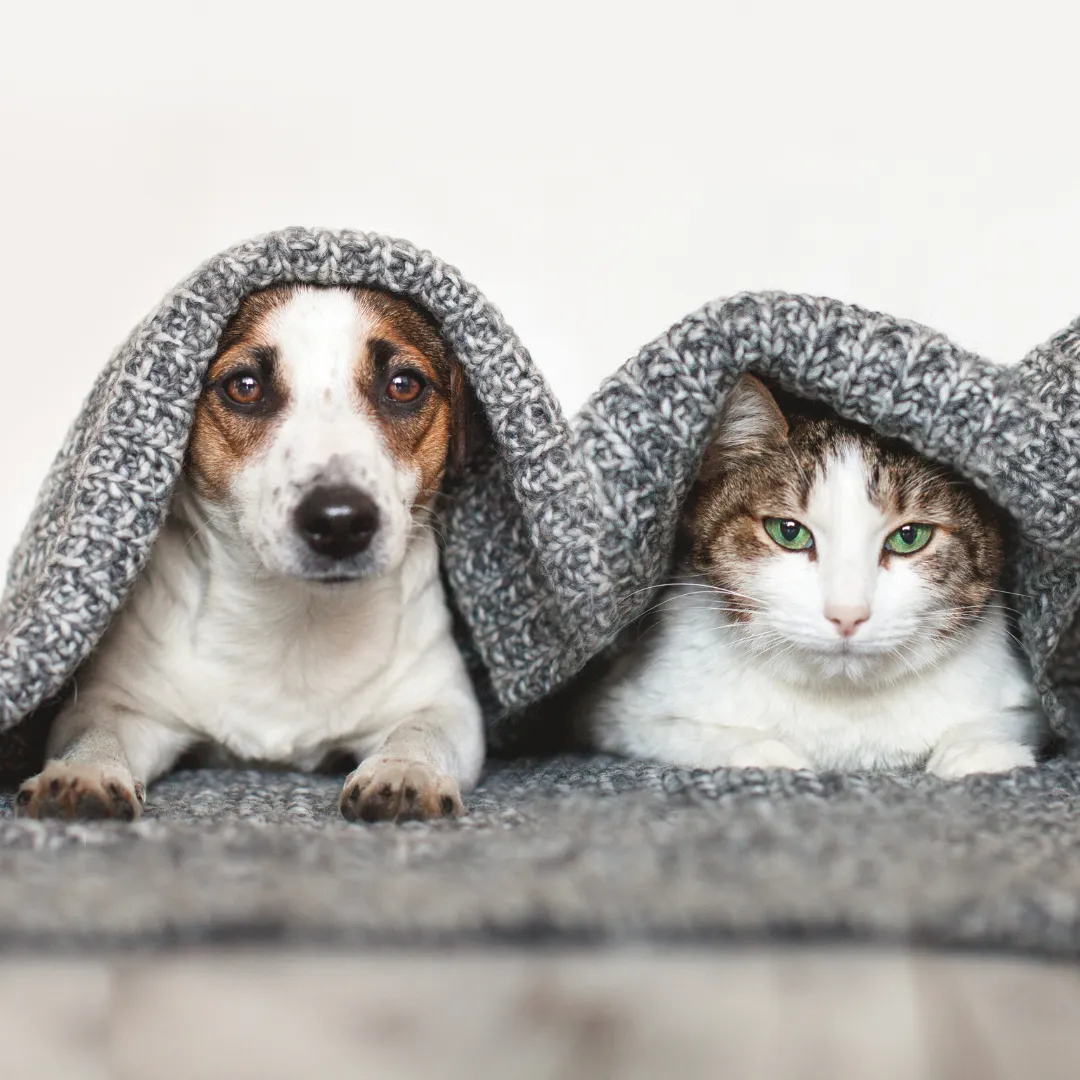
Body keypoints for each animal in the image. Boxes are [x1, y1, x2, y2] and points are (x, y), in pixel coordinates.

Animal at [12, 282, 483, 820]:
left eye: (404, 385)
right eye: (244, 386)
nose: (339, 521)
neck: (296, 622)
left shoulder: (445, 704)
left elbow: (421, 730)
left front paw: (405, 771)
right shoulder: (118, 705)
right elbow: (95, 735)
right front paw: (82, 774)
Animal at [583, 373, 1045, 777]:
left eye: (909, 536)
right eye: (788, 531)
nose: (847, 614)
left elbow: (1009, 718)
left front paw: (981, 747)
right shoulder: (618, 709)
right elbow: (681, 731)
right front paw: (761, 751)